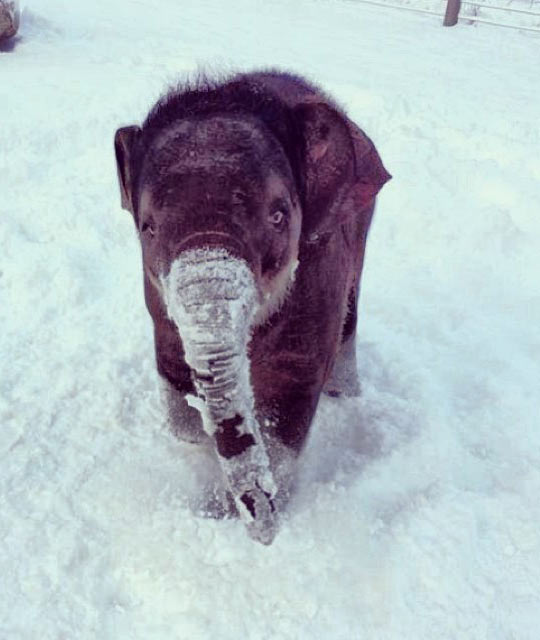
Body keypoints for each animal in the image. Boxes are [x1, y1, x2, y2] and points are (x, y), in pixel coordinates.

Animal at [116, 70, 390, 544]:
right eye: (148, 227)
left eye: (278, 216)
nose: (265, 537)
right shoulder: (156, 299)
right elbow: (173, 374)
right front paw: (197, 442)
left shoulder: (319, 275)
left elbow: (288, 404)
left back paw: (345, 395)